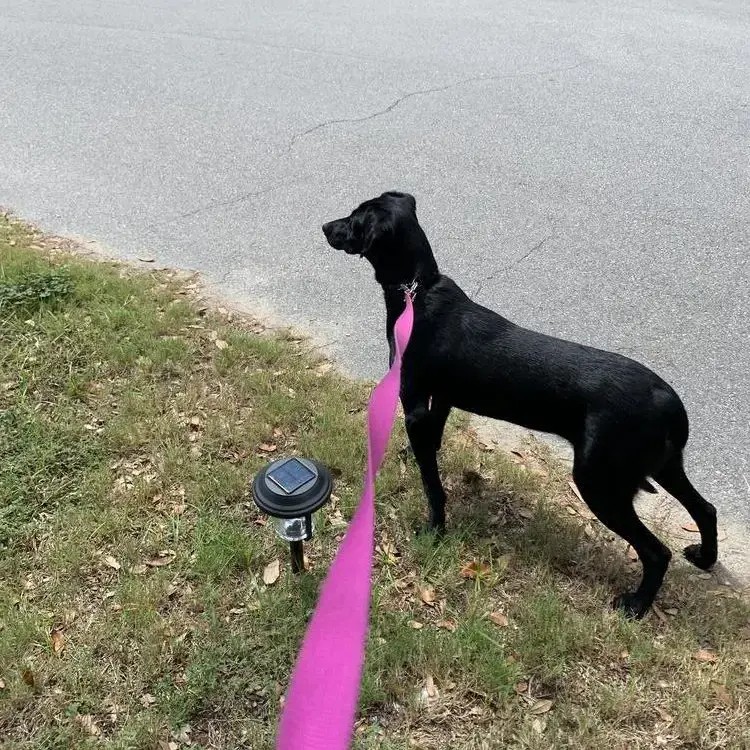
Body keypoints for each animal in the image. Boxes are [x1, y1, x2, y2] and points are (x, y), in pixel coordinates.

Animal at [320, 191, 720, 620]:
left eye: (355, 218)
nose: (325, 227)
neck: (417, 291)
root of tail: (670, 402)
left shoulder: (412, 404)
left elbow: (432, 483)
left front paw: (435, 528)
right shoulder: (441, 398)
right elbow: (434, 441)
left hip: (600, 481)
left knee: (657, 551)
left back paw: (636, 604)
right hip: (662, 465)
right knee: (706, 508)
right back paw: (704, 557)